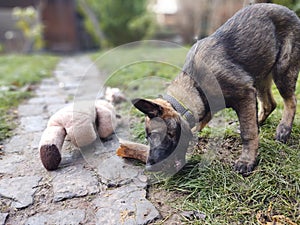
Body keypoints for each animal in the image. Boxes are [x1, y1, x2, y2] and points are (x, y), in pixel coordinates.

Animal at [133, 3, 300, 176]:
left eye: (154, 135)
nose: (148, 167)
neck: (195, 84)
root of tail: (290, 12)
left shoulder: (245, 94)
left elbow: (248, 132)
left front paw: (246, 160)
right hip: (260, 75)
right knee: (269, 104)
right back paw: (259, 121)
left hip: (283, 69)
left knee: (291, 100)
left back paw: (284, 129)